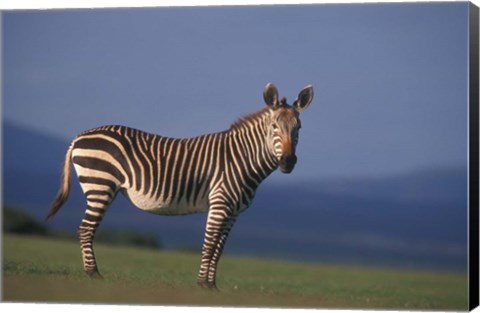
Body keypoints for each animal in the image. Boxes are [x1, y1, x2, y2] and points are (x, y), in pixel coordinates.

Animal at [47, 82, 314, 288]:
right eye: (274, 127)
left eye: (298, 128)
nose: (288, 161)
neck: (243, 159)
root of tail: (80, 136)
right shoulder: (220, 203)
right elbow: (209, 244)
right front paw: (203, 285)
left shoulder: (233, 212)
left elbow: (219, 249)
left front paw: (213, 287)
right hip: (100, 185)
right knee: (85, 229)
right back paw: (93, 274)